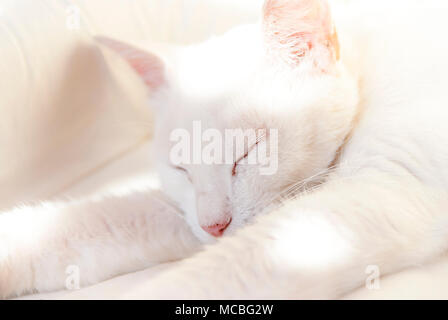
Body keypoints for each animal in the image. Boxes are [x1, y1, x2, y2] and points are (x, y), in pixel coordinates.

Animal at [0, 0, 448, 300]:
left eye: (247, 152)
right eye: (180, 169)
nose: (214, 225)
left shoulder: (372, 197)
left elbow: (219, 271)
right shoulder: (181, 214)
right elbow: (91, 223)